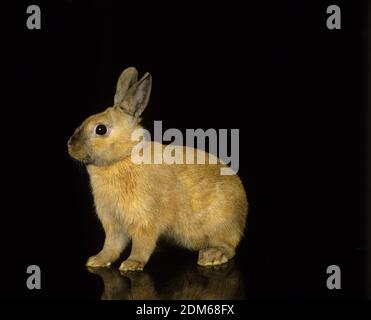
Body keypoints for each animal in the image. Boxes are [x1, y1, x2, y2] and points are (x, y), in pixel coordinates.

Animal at [68, 66, 248, 272]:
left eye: (100, 129)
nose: (70, 146)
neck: (124, 157)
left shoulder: (145, 220)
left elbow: (142, 245)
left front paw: (131, 264)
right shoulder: (114, 224)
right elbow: (111, 246)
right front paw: (96, 260)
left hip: (221, 224)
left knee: (229, 247)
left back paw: (212, 256)